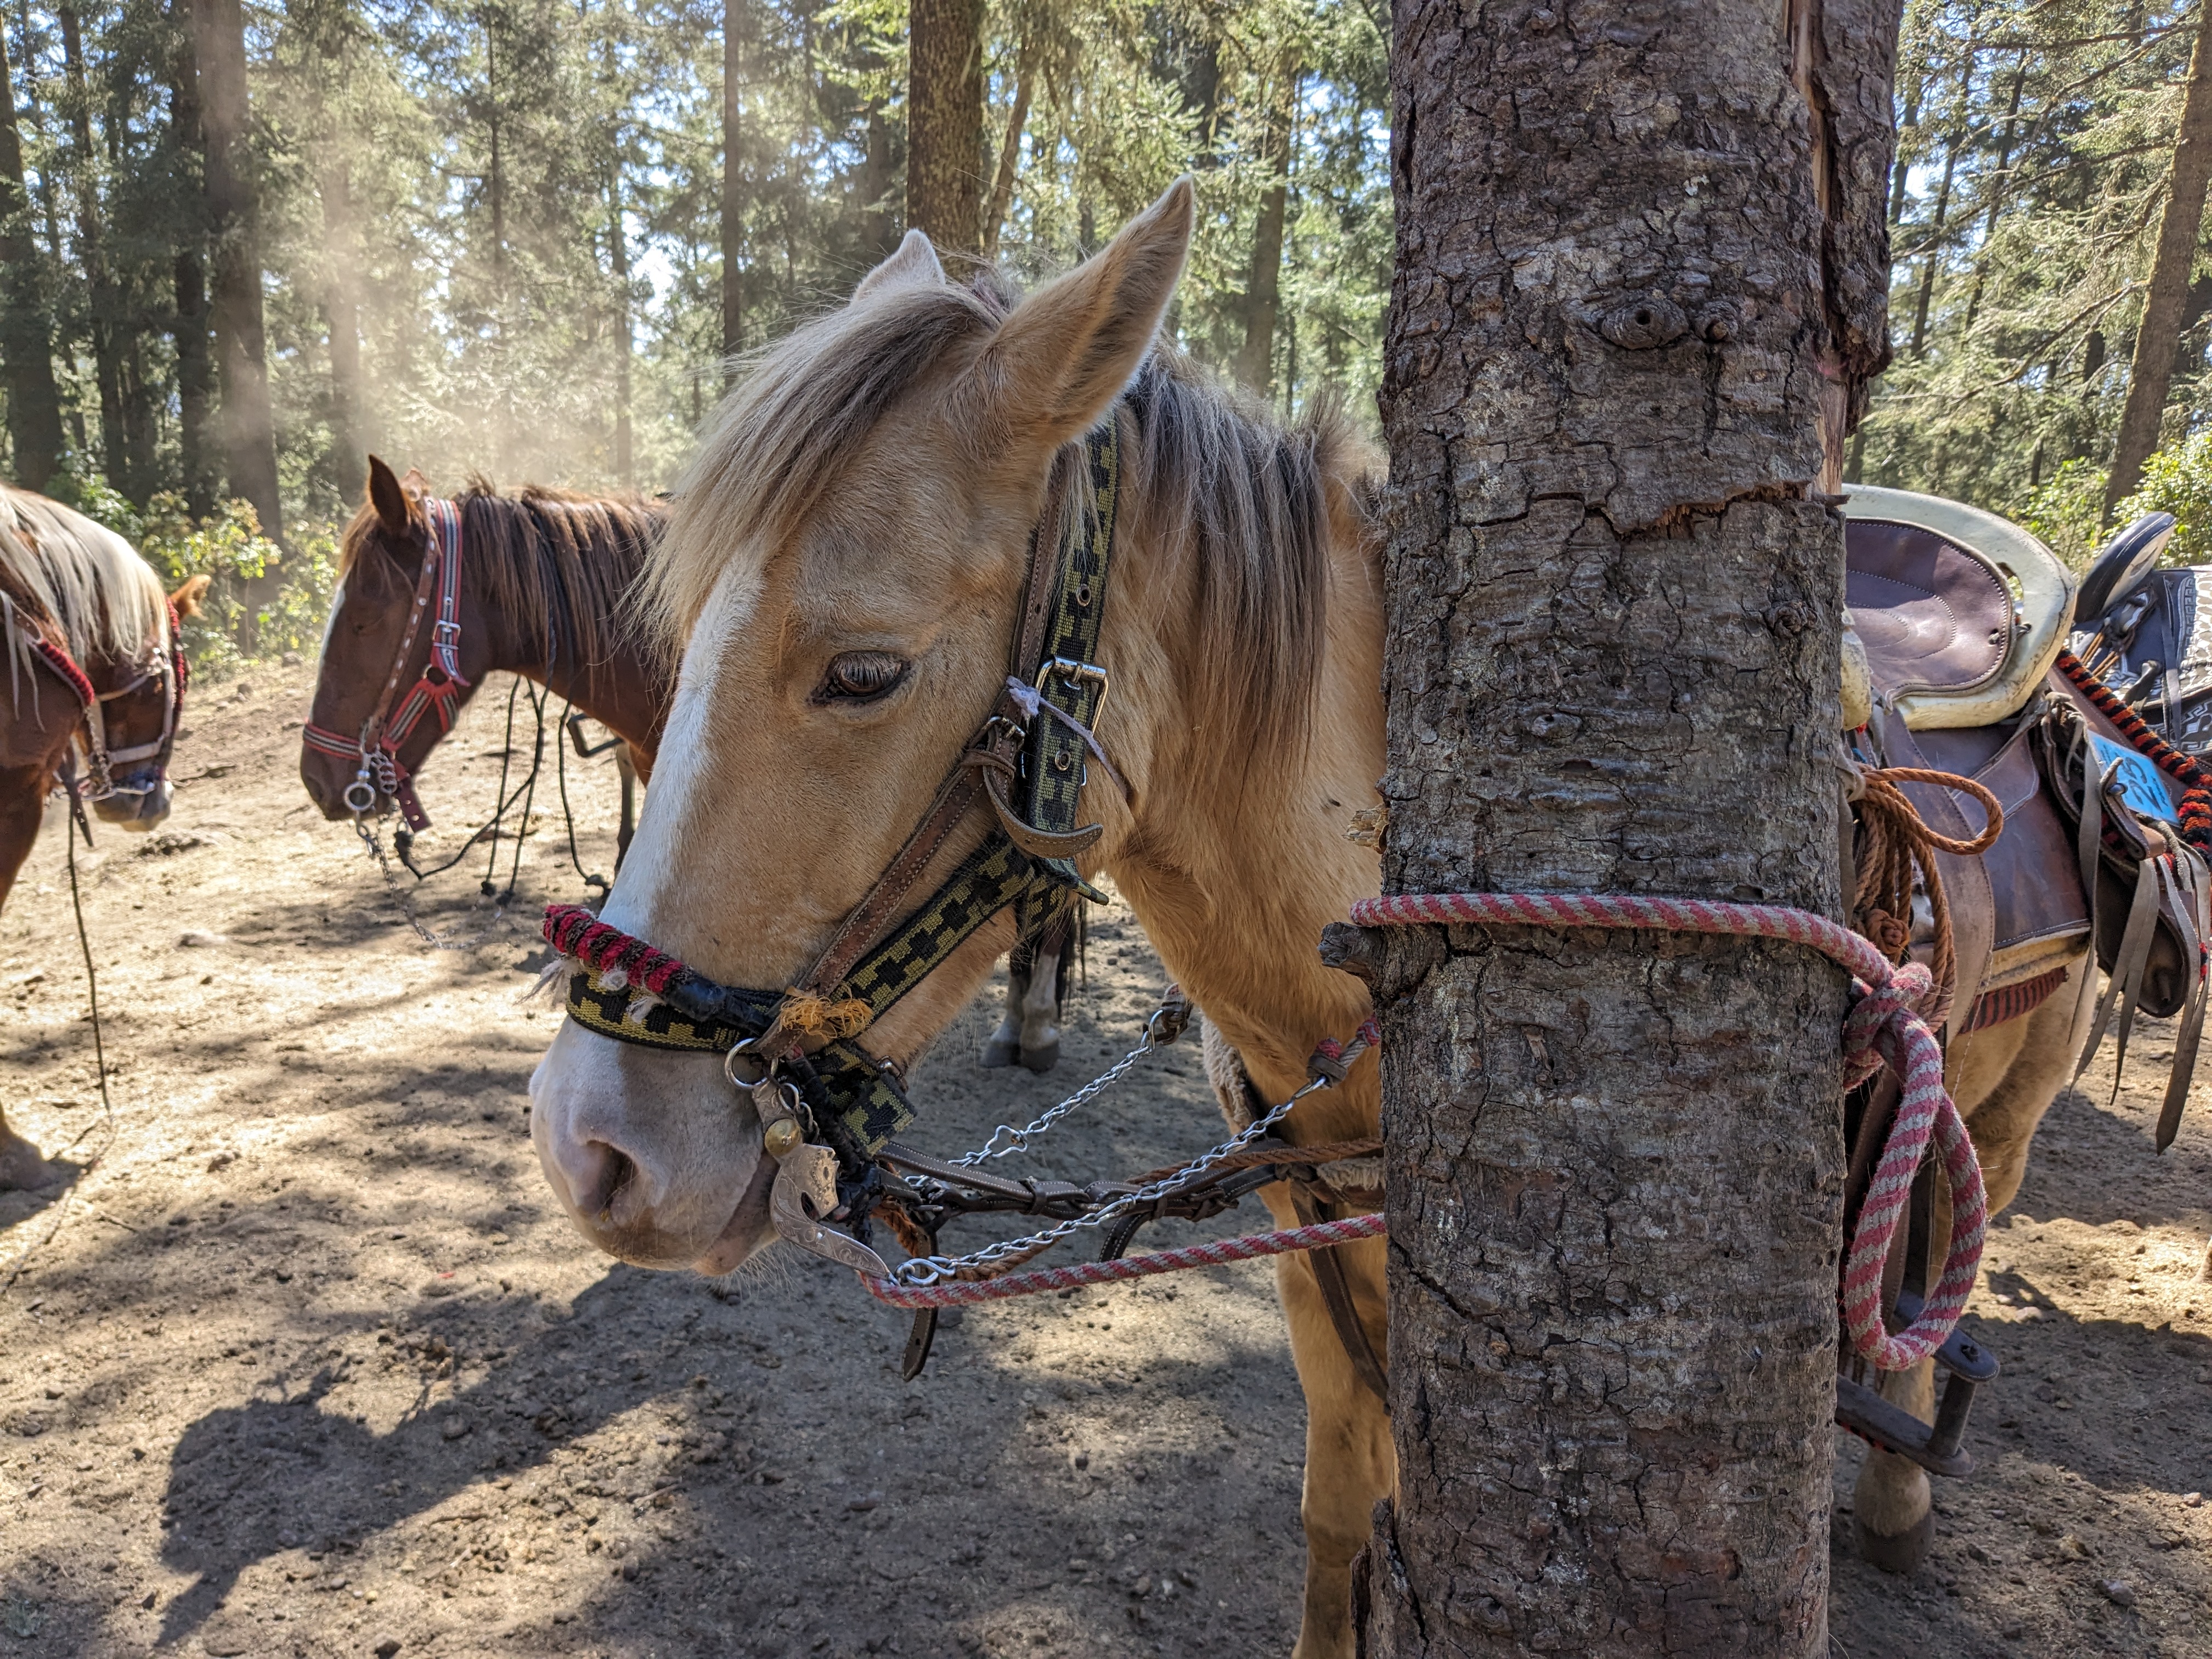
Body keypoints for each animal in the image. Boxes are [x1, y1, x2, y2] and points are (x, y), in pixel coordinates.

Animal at [524, 184, 2083, 1650]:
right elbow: (1344, 1496)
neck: (1357, 995)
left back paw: (1899, 1481)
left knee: (1942, 1264)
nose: (591, 1147)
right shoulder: (1310, 1244)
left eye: (864, 673)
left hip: (2007, 1109)